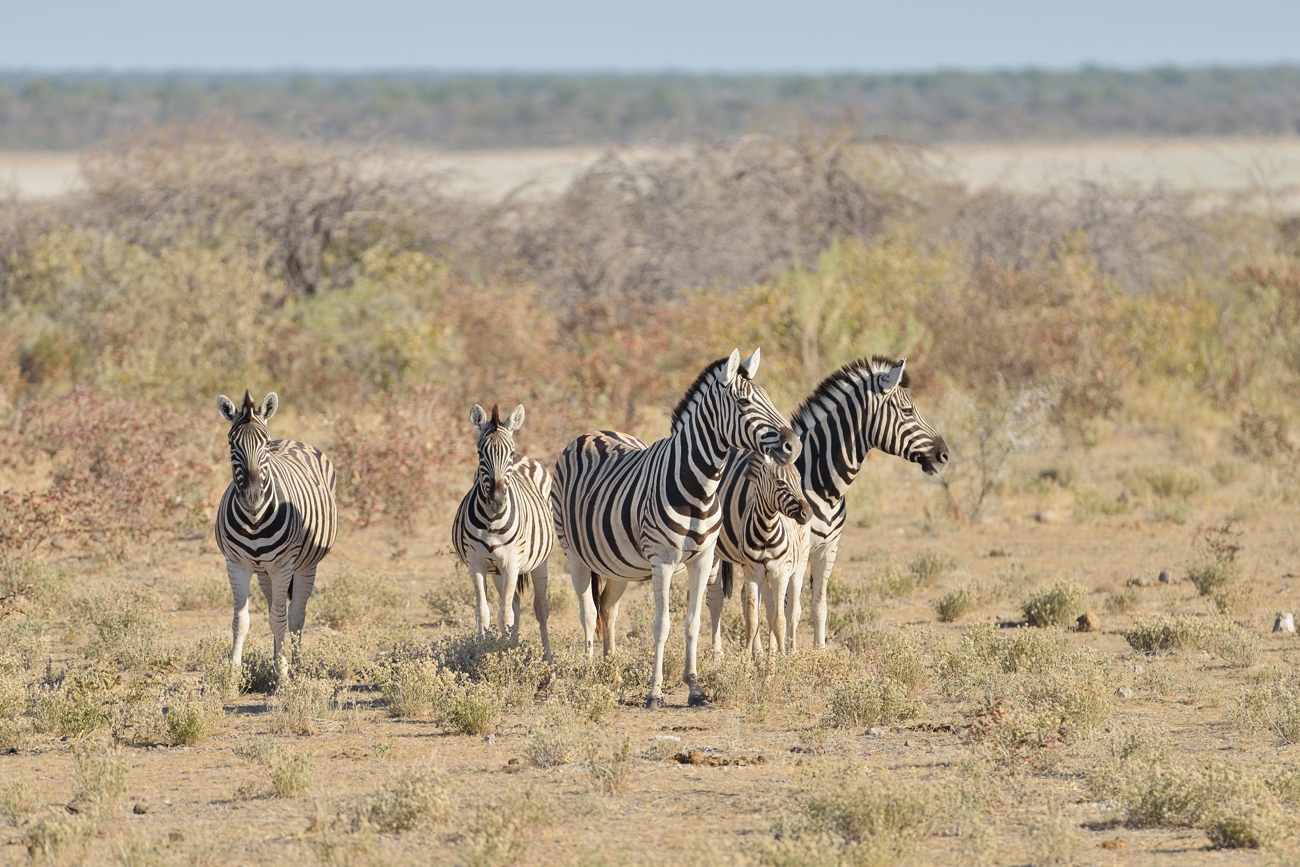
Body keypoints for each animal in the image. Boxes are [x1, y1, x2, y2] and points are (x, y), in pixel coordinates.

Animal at [214, 389, 338, 681]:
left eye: (265, 443)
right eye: (231, 444)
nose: (252, 496)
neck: (254, 520)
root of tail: (292, 440)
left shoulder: (283, 566)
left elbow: (280, 620)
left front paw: (283, 674)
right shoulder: (237, 564)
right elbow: (242, 620)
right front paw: (233, 674)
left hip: (305, 565)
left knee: (295, 616)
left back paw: (297, 663)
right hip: (263, 572)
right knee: (275, 609)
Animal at [452, 405, 553, 665]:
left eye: (510, 451)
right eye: (480, 453)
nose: (497, 502)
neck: (491, 521)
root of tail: (526, 458)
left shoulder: (512, 561)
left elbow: (505, 615)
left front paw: (504, 657)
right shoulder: (476, 562)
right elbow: (484, 612)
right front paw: (483, 652)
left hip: (537, 562)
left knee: (541, 607)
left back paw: (548, 658)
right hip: (497, 570)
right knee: (515, 604)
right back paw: (513, 645)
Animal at [707, 454, 806, 657]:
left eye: (800, 480)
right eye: (780, 482)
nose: (807, 513)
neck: (766, 532)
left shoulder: (780, 575)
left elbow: (780, 620)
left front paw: (783, 657)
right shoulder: (753, 574)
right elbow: (753, 620)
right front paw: (747, 657)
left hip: (798, 569)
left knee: (792, 612)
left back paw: (790, 652)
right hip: (765, 578)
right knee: (770, 610)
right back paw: (769, 656)